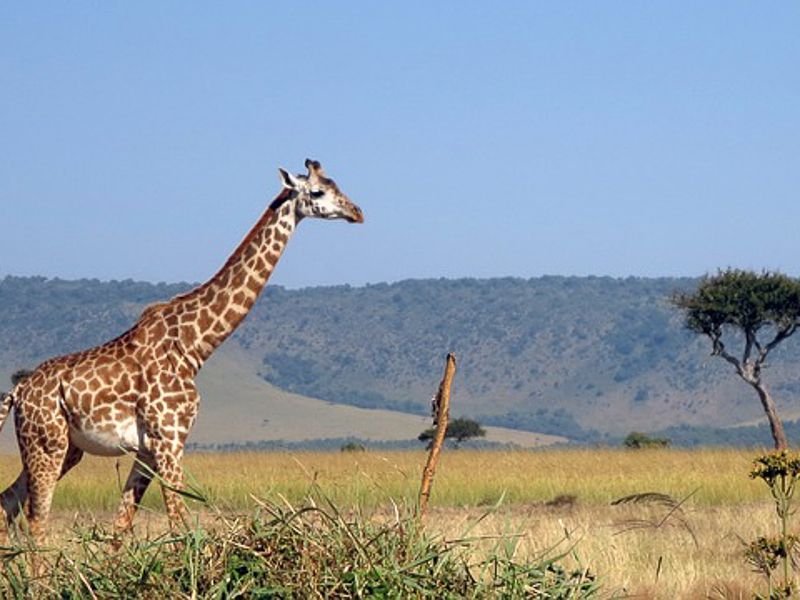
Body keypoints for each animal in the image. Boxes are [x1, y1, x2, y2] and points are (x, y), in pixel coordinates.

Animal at [0, 159, 363, 545]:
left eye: (337, 184)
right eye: (318, 192)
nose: (357, 212)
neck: (194, 345)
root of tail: (18, 392)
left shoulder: (148, 447)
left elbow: (121, 527)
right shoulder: (169, 439)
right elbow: (180, 523)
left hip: (67, 448)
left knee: (6, 502)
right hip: (46, 443)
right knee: (36, 519)